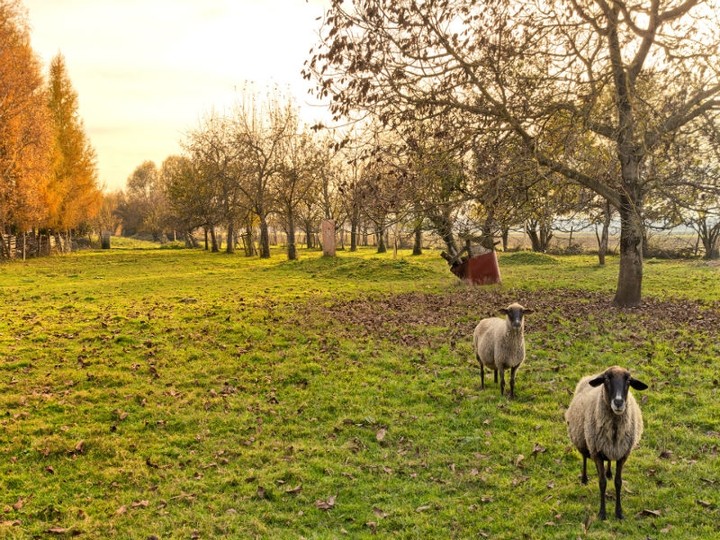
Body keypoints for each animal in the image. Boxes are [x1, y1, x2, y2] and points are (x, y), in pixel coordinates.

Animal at [564, 364, 648, 520]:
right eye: (607, 379)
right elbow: (602, 483)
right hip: (583, 440)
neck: (614, 429)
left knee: (608, 462)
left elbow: (618, 482)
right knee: (584, 457)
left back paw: (608, 472)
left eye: (628, 380)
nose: (619, 402)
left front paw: (619, 512)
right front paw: (602, 513)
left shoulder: (623, 454)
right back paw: (584, 478)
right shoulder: (596, 452)